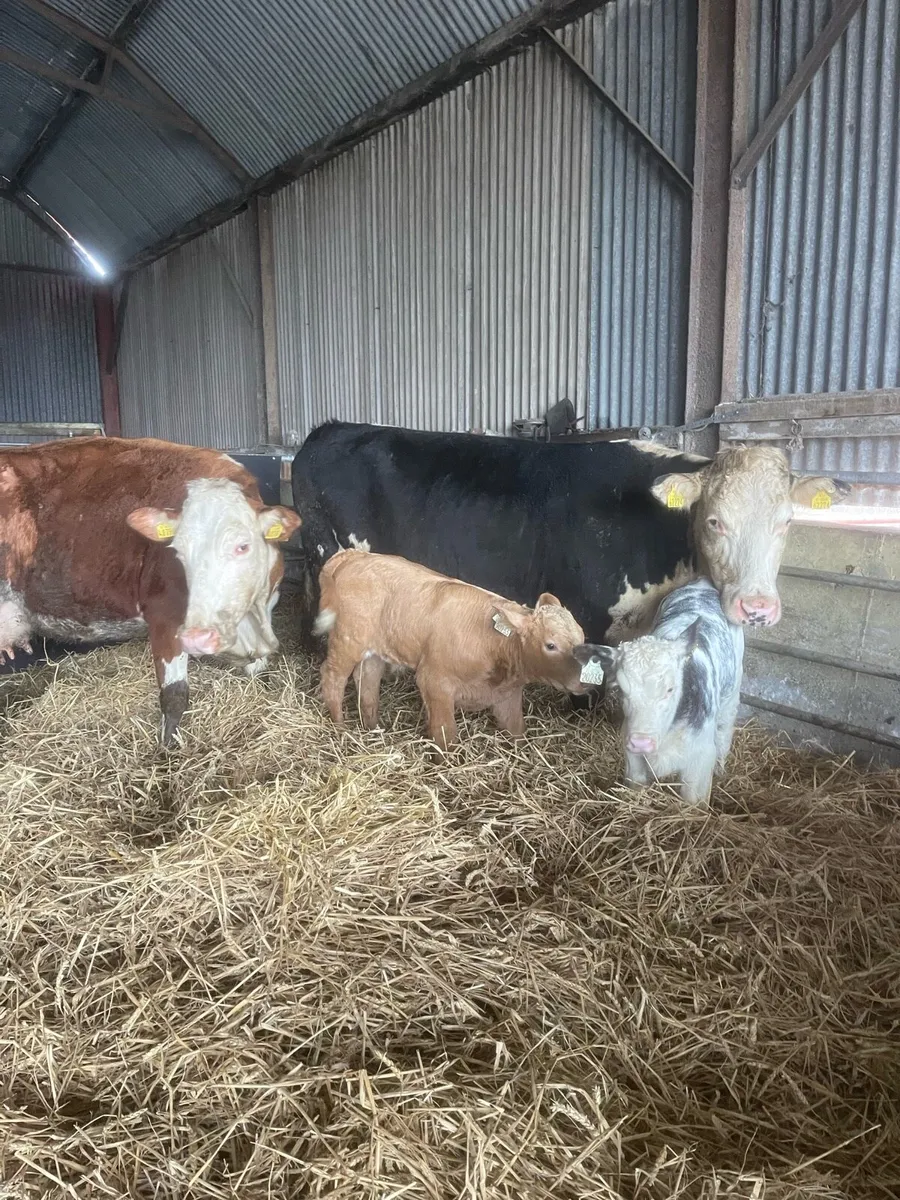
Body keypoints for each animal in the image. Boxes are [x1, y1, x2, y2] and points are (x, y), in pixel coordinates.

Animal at [0, 437, 301, 745]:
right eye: (177, 551)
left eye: (242, 546)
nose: (197, 637)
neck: (252, 622)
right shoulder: (165, 617)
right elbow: (174, 696)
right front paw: (167, 750)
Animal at [291, 422, 848, 649]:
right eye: (715, 520)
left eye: (787, 522)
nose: (757, 608)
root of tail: (331, 427)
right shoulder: (588, 608)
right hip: (328, 550)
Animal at [313, 546, 588, 748]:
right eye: (550, 645)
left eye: (582, 638)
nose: (587, 682)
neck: (494, 644)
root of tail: (354, 555)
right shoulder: (435, 681)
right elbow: (445, 733)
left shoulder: (507, 695)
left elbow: (517, 729)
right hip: (348, 640)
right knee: (333, 677)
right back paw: (340, 727)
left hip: (374, 649)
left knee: (367, 681)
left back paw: (372, 728)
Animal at [575, 579, 744, 806]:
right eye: (620, 688)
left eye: (671, 689)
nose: (641, 742)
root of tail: (701, 583)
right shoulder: (632, 759)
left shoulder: (699, 763)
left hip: (731, 693)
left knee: (725, 728)